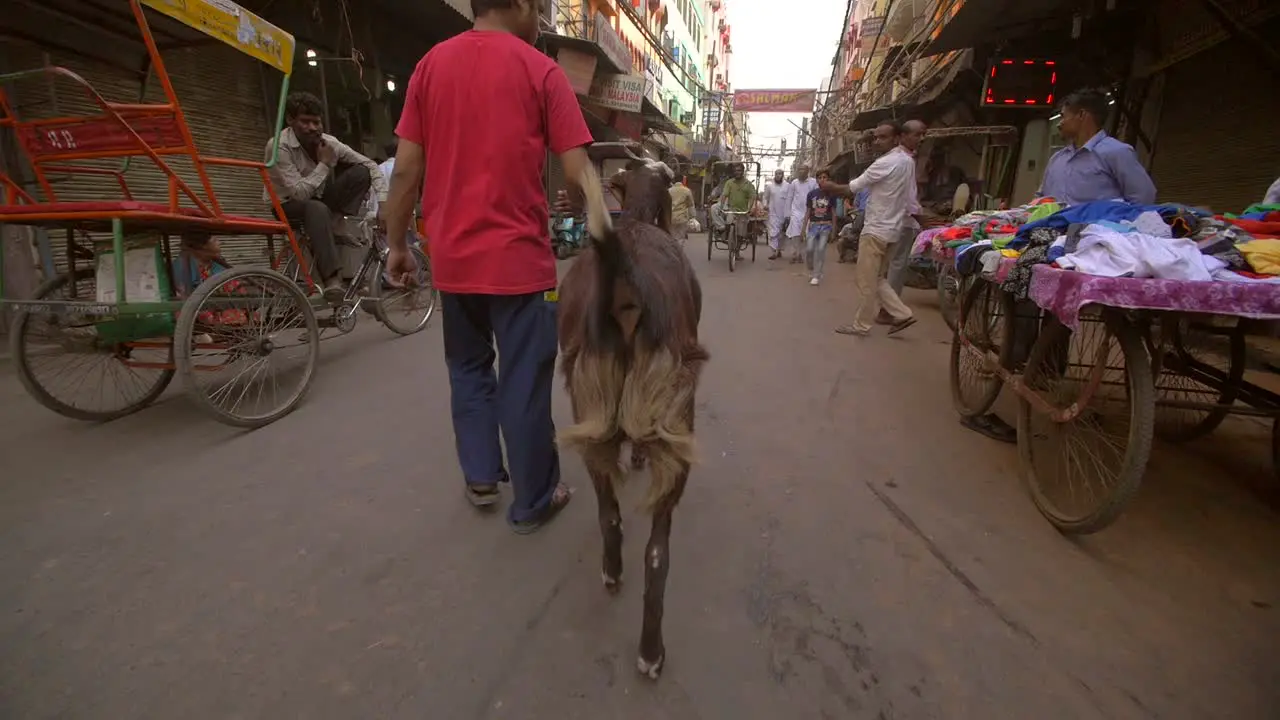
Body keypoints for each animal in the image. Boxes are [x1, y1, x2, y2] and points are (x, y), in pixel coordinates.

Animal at [555, 154, 706, 676]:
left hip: (591, 412)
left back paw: (612, 572)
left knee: (610, 513)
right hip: (675, 416)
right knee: (658, 551)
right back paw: (651, 652)